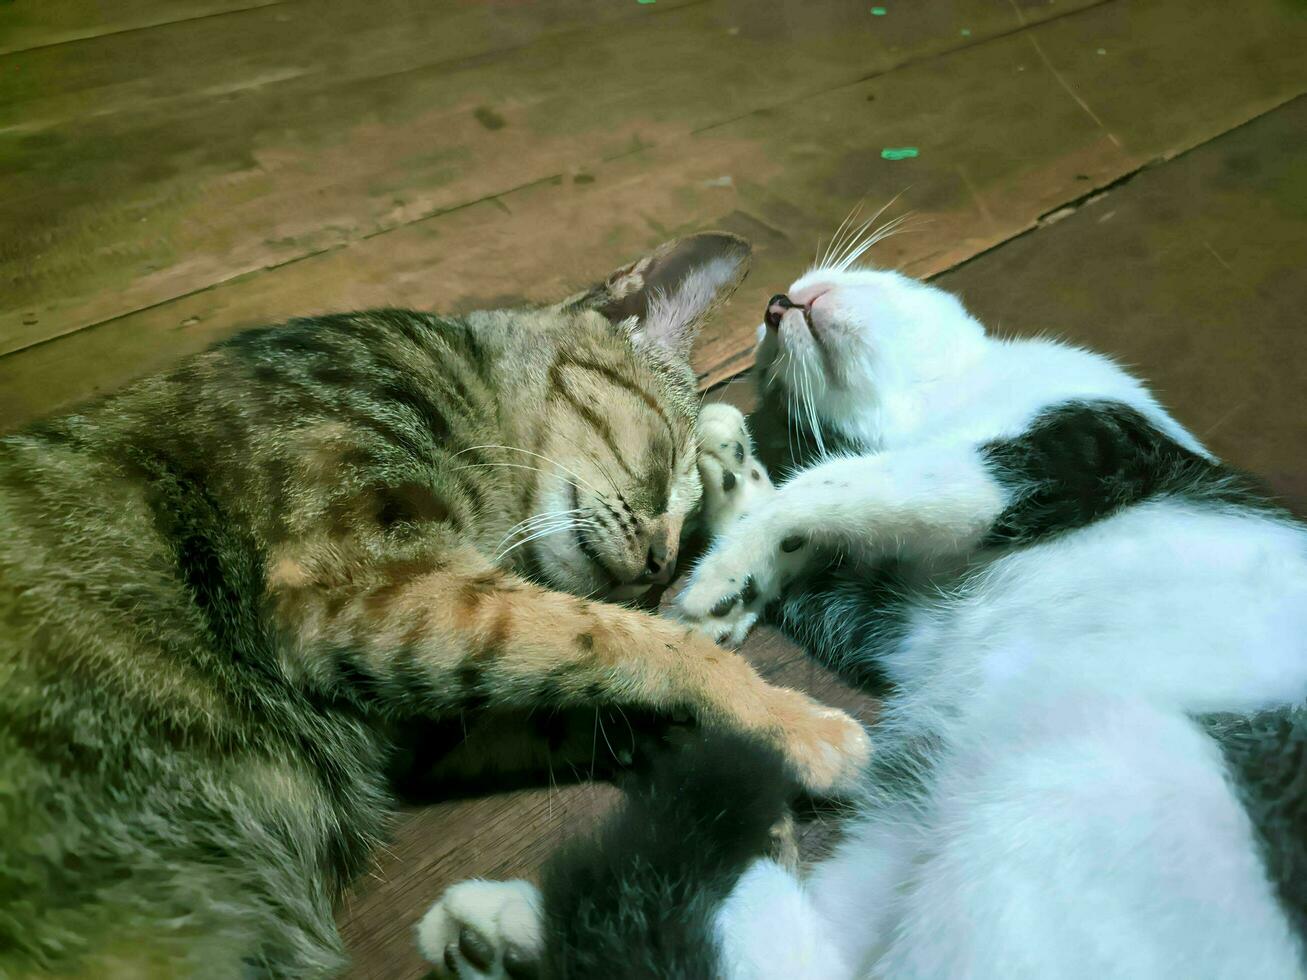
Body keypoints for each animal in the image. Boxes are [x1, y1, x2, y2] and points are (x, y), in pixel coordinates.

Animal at [0, 237, 867, 980]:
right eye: (666, 470)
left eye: (684, 525)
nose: (659, 567)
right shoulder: (366, 584)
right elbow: (627, 641)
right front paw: (790, 721)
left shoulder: (423, 706)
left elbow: (582, 689)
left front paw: (735, 791)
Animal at [420, 257, 1307, 977]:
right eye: (768, 341)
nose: (776, 303)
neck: (932, 407)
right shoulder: (896, 612)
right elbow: (808, 513)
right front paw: (728, 498)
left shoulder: (1047, 456)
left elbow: (832, 481)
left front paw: (716, 575)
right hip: (907, 853)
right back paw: (494, 931)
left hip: (1066, 809)